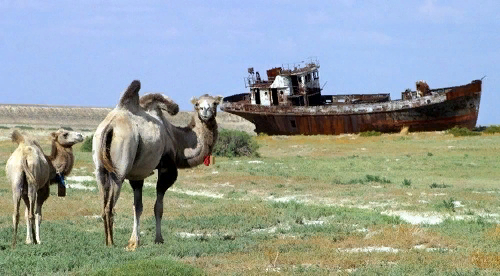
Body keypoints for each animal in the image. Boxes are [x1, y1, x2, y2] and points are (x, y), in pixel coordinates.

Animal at [92, 80, 221, 250]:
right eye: (197, 104)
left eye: (215, 103)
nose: (205, 111)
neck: (176, 139)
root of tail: (109, 127)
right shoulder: (167, 168)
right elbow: (158, 207)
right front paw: (158, 239)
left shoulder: (137, 174)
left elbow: (137, 207)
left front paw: (134, 242)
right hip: (119, 167)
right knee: (110, 206)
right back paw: (111, 243)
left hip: (100, 168)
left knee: (103, 201)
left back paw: (107, 241)